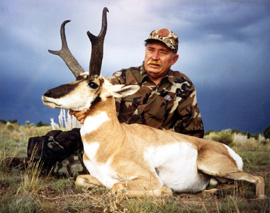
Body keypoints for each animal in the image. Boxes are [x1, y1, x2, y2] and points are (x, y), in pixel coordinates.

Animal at [42, 7, 264, 198]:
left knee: (257, 179)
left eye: (92, 83)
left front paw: (166, 192)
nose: (47, 93)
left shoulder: (147, 178)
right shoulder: (96, 177)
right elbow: (81, 179)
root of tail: (227, 149)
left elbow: (118, 187)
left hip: (214, 166)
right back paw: (213, 192)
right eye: (76, 78)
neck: (115, 139)